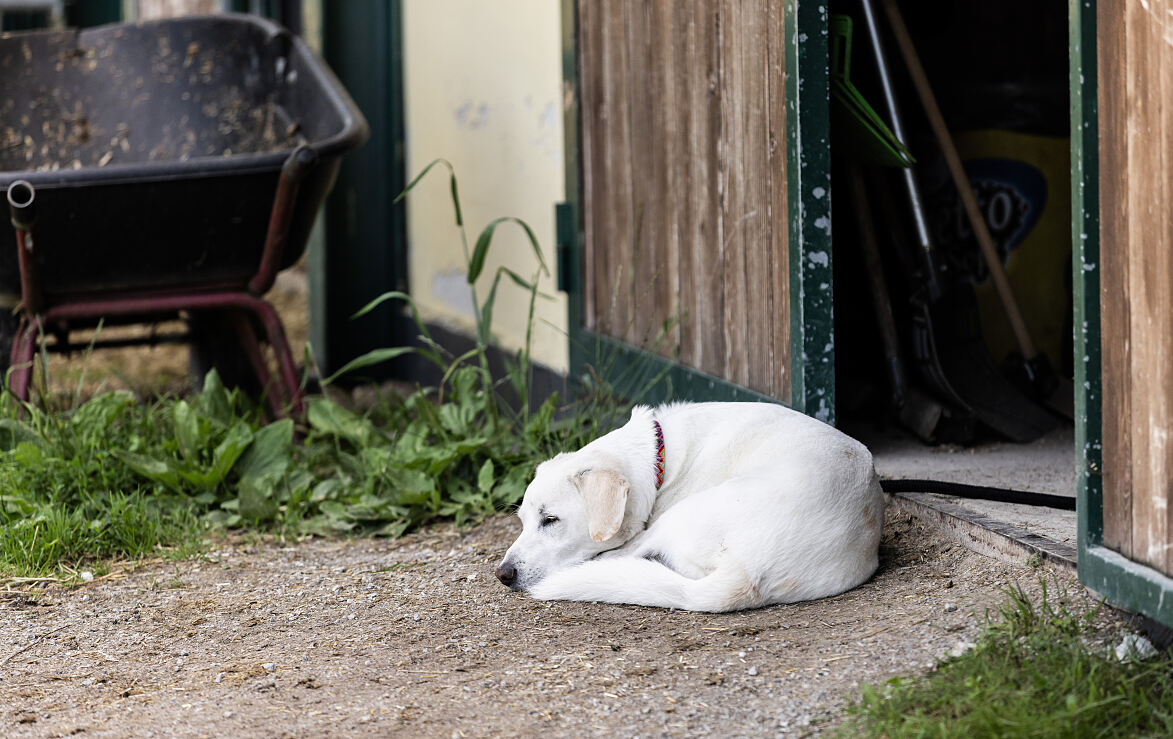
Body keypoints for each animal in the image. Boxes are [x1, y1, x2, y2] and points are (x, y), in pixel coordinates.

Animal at [490, 403, 882, 614]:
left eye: (550, 520)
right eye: (522, 521)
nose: (503, 574)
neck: (657, 458)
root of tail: (748, 572)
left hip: (680, 516)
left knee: (629, 554)